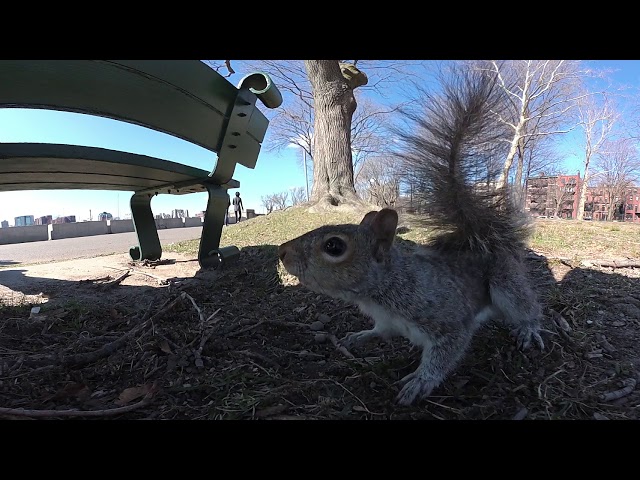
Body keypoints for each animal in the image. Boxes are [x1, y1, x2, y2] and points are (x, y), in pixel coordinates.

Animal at [278, 65, 544, 406]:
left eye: (334, 246)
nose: (282, 252)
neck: (383, 290)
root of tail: (486, 241)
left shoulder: (446, 318)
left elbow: (447, 351)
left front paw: (420, 381)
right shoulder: (387, 320)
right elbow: (380, 331)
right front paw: (360, 336)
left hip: (505, 284)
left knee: (525, 306)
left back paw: (529, 328)